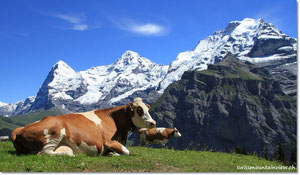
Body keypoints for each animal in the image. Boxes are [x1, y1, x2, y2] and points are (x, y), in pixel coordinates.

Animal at [10, 98, 156, 157]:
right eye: (139, 110)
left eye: (147, 108)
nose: (153, 122)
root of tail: (19, 130)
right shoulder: (107, 141)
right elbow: (126, 152)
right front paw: (112, 153)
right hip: (55, 132)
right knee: (44, 152)